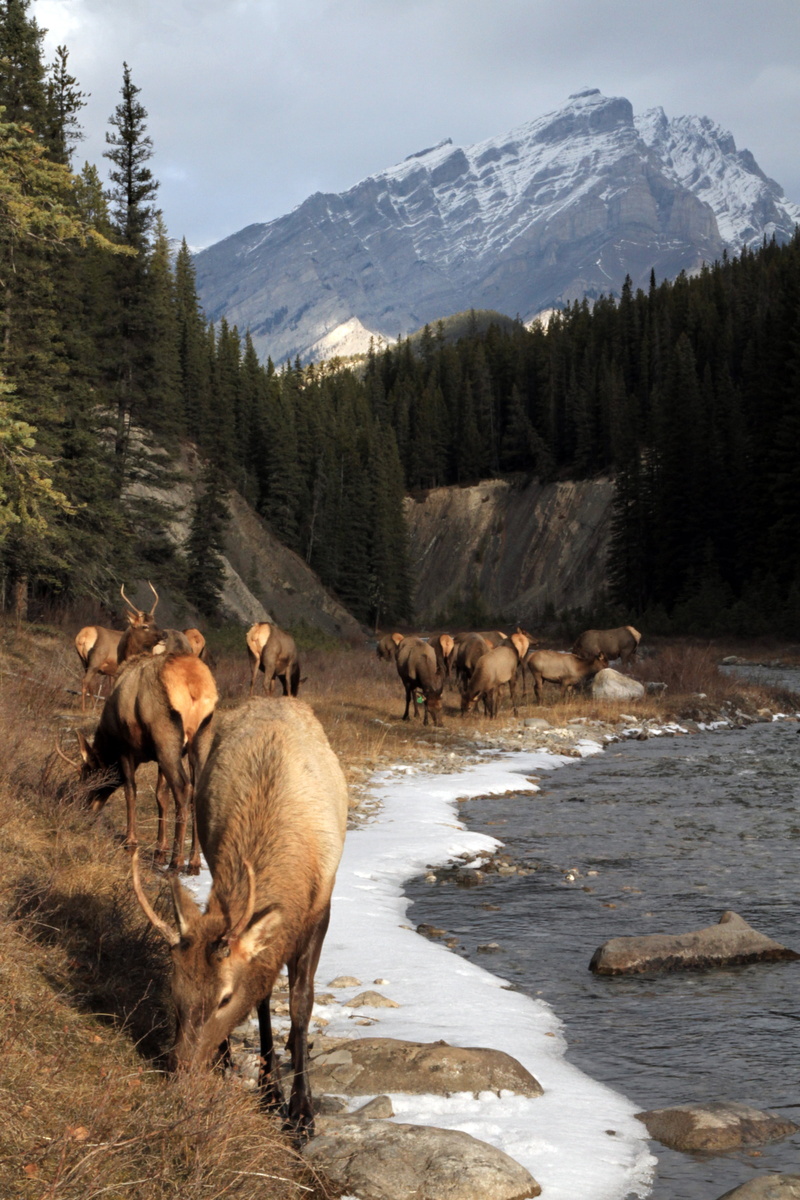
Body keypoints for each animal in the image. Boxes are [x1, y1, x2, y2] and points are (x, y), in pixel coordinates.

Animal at [59, 652, 218, 873]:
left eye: (88, 775)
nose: (84, 807)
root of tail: (195, 686)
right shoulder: (158, 757)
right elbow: (161, 796)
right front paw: (159, 851)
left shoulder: (125, 748)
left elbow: (130, 789)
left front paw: (131, 842)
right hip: (201, 737)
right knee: (196, 791)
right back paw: (193, 862)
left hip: (166, 737)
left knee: (182, 788)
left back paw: (176, 861)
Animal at [131, 696, 348, 1139]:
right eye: (174, 989)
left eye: (225, 998)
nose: (181, 1071)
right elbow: (264, 998)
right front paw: (269, 1089)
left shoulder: (321, 907)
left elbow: (301, 1002)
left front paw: (301, 1111)